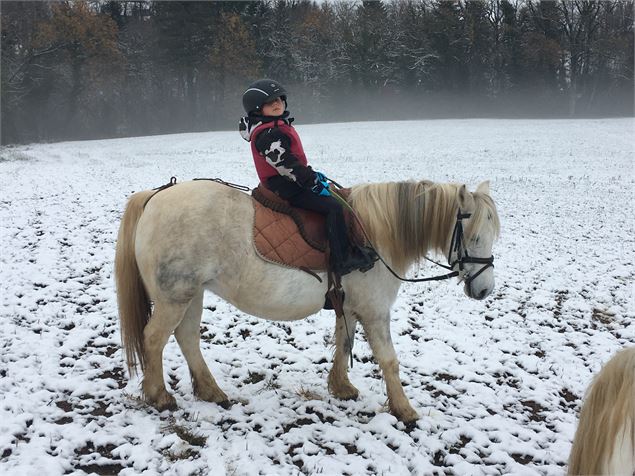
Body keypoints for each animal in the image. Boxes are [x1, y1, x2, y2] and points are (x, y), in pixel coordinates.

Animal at [114, 178, 502, 420]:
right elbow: (389, 360)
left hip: (191, 294)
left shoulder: (350, 306)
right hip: (174, 297)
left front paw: (341, 387)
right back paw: (159, 396)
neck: (376, 234)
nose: (485, 290)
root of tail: (154, 197)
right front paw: (404, 410)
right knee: (154, 339)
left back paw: (211, 391)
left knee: (187, 338)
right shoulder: (375, 311)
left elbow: (343, 343)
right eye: (475, 236)